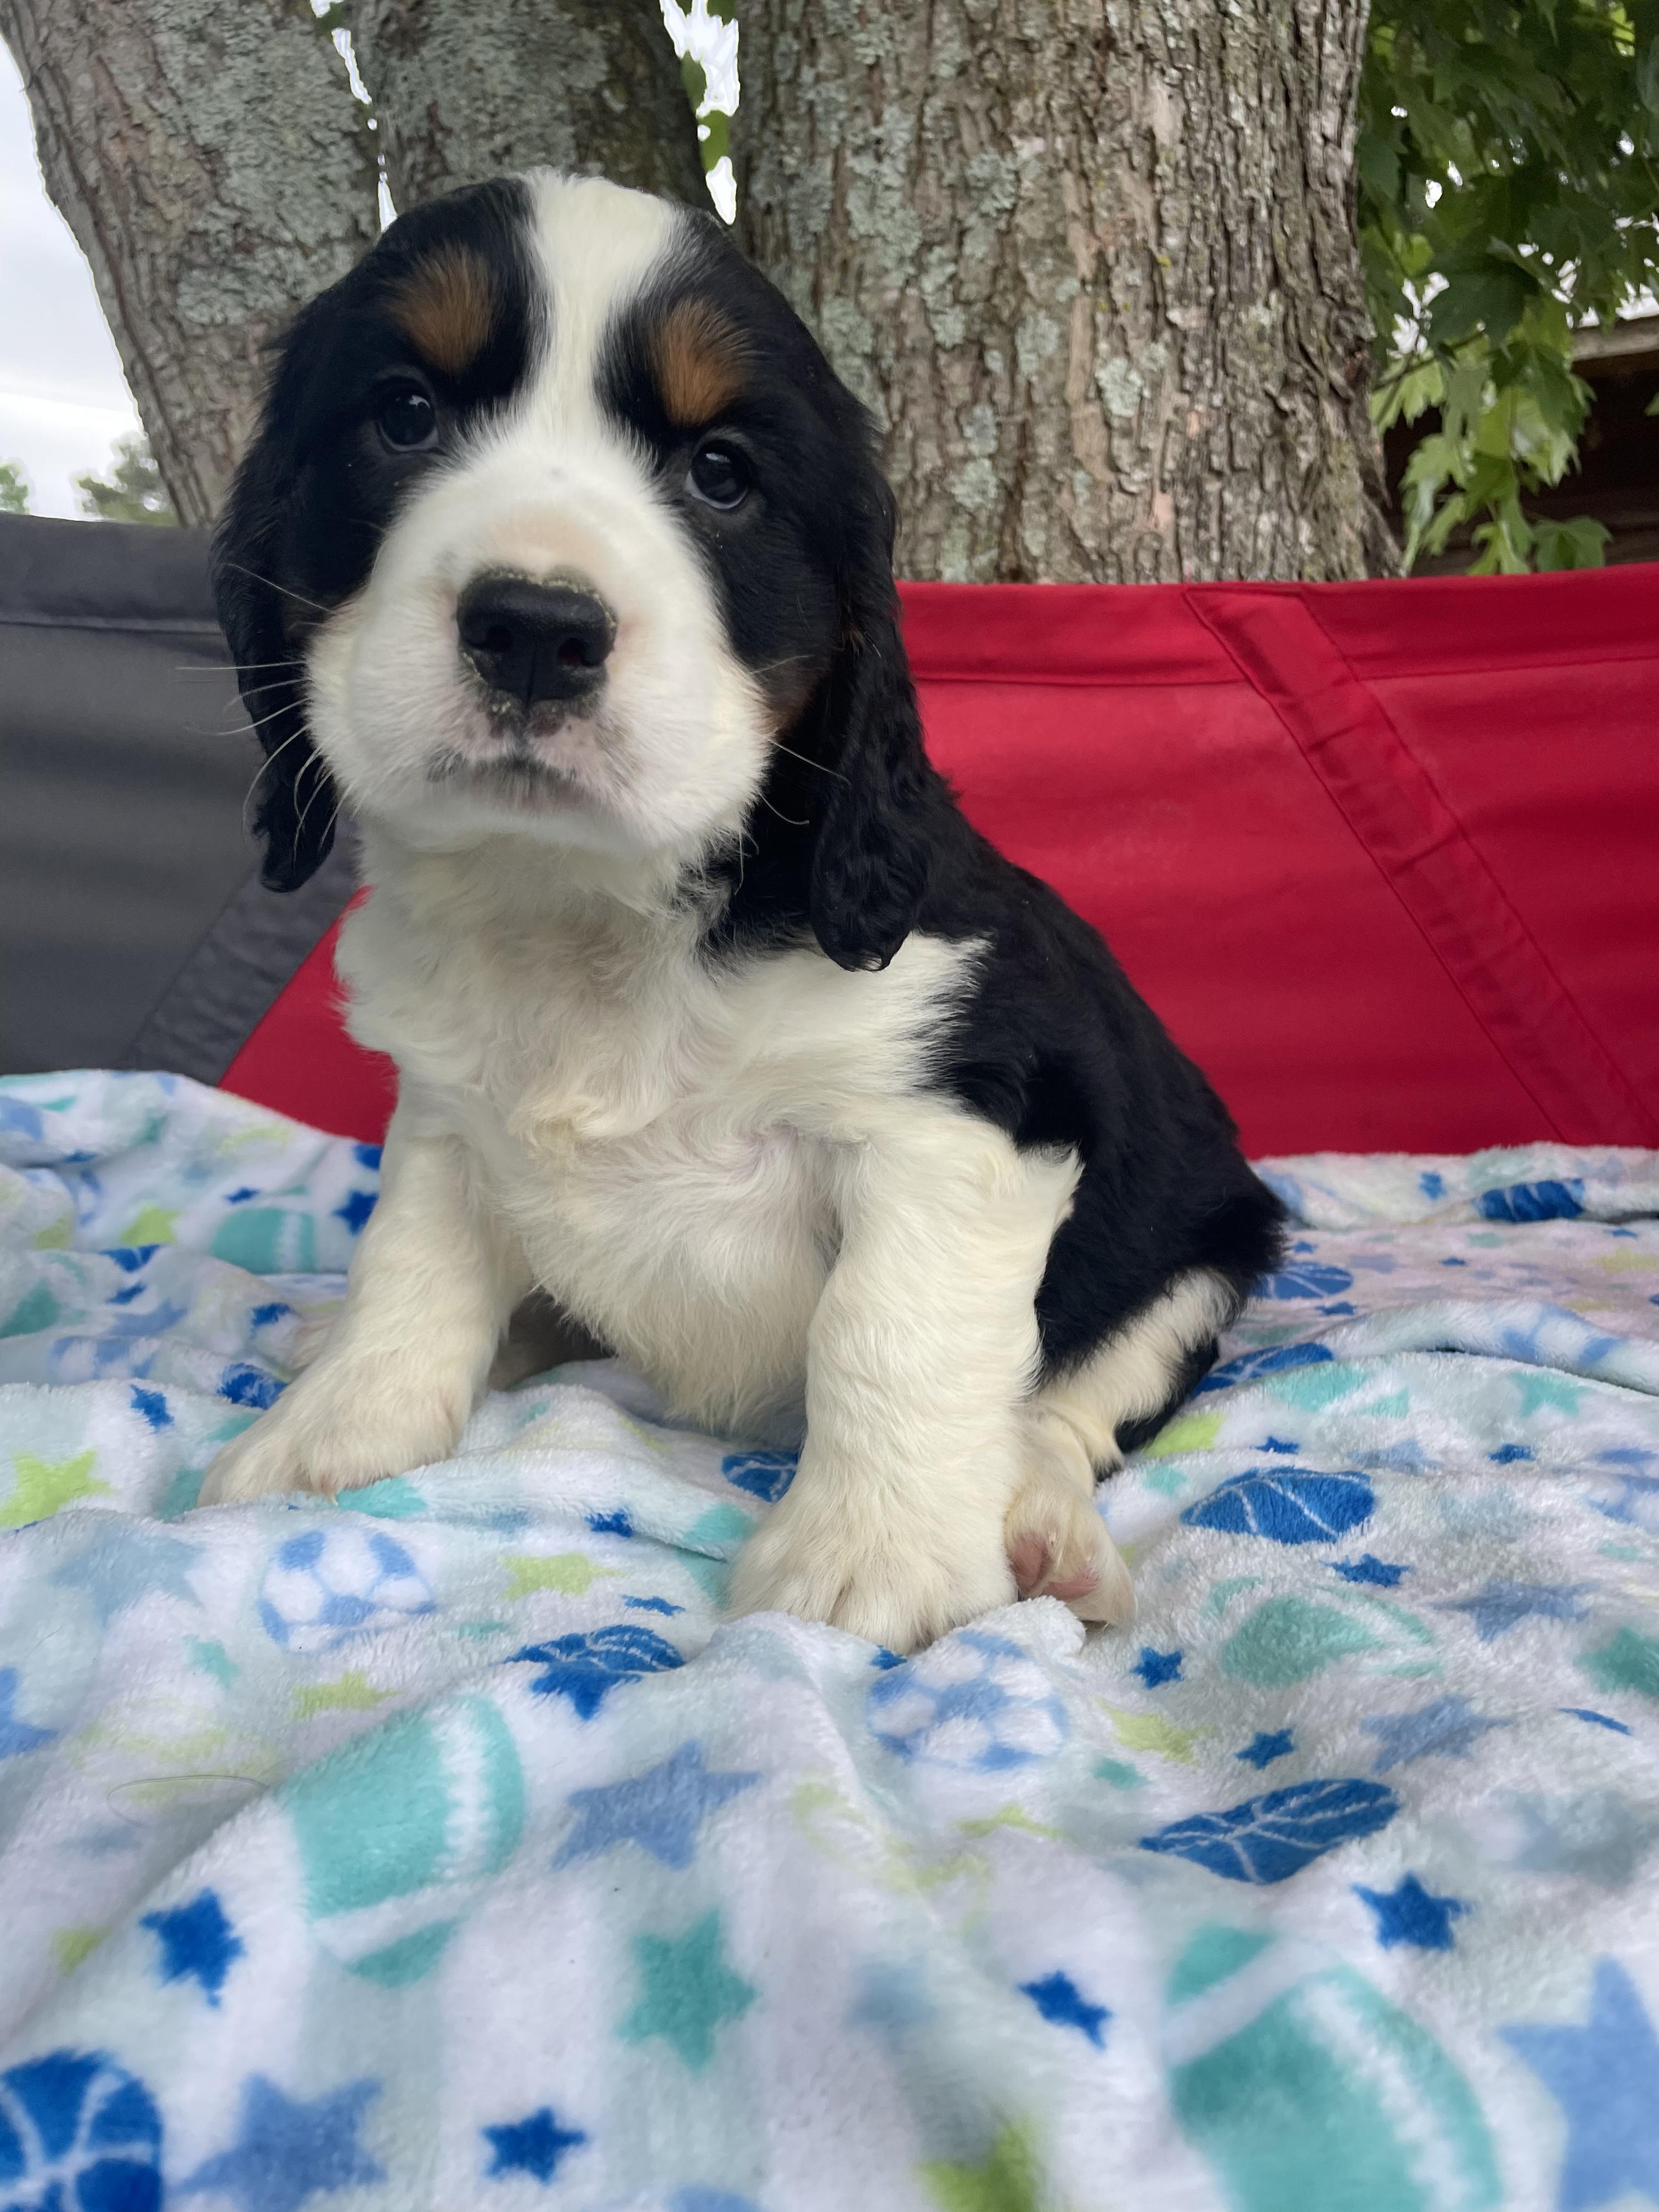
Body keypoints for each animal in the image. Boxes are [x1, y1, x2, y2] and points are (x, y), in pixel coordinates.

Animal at [198, 170, 1286, 1652]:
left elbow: (889, 1330)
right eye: (405, 412)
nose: (532, 626)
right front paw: (335, 1432)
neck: (594, 908)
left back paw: (1044, 1524)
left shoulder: (963, 1120)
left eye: (721, 473)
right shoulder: (447, 1110)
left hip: (1199, 1244)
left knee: (1074, 1400)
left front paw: (868, 1558)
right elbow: (409, 1265)